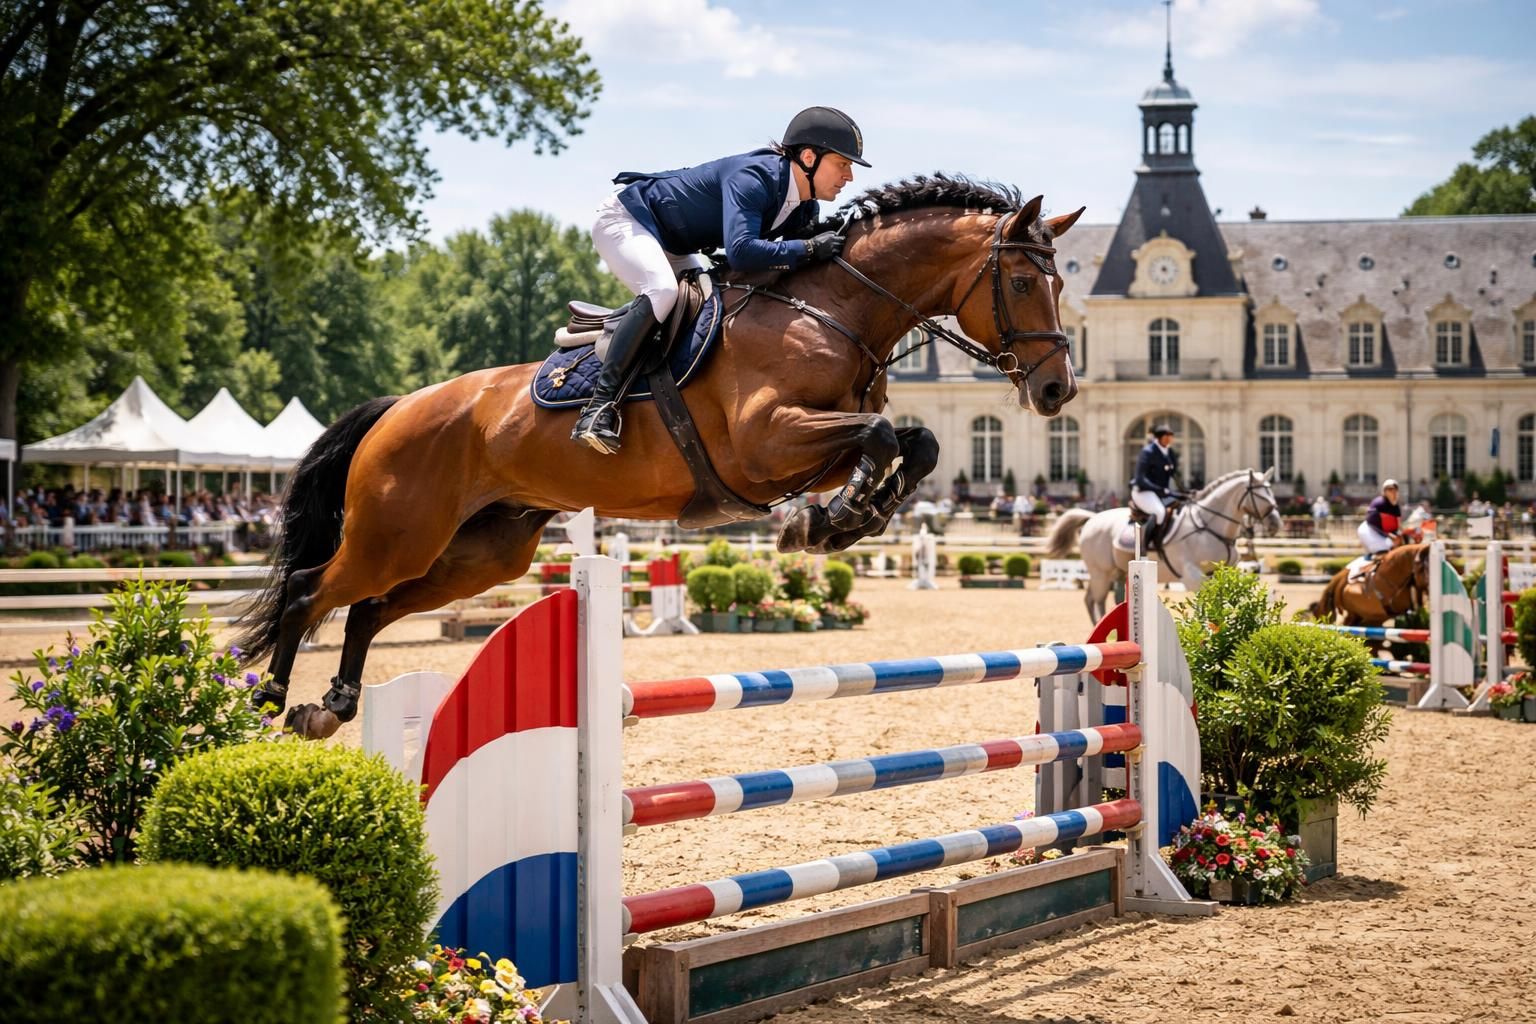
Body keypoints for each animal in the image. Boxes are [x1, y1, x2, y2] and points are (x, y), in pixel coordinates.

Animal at [236, 177, 1086, 738]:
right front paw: (832, 521)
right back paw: (266, 700)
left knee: (369, 607)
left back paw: (330, 706)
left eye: (1061, 284)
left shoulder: (808, 447)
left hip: (482, 552)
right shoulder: (768, 440)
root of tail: (398, 406)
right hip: (397, 532)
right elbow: (880, 437)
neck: (830, 310)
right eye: (1020, 280)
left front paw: (844, 519)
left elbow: (917, 442)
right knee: (312, 590)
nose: (1057, 391)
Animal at [1044, 468, 1282, 623]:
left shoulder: (1222, 571)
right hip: (1101, 572)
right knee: (1095, 599)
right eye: (1260, 495)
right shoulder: (1192, 575)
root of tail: (1092, 517)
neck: (1209, 524)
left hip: (1115, 572)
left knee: (1097, 598)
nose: (1275, 524)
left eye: (1272, 491)